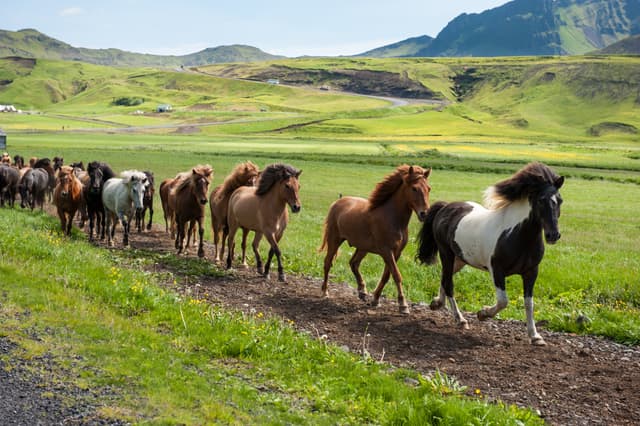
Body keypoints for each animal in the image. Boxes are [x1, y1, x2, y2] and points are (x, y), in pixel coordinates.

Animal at [320, 165, 431, 314]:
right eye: (414, 188)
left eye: (428, 188)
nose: (424, 214)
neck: (392, 217)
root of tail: (337, 202)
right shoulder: (386, 251)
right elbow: (396, 275)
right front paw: (403, 305)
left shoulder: (396, 253)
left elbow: (386, 276)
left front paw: (375, 299)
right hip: (334, 240)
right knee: (328, 263)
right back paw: (325, 292)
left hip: (362, 247)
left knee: (353, 263)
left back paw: (362, 291)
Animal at [416, 162, 564, 346]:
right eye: (541, 200)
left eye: (560, 200)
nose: (553, 235)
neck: (516, 235)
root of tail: (445, 207)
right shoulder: (497, 271)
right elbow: (503, 301)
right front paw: (482, 314)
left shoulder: (531, 272)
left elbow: (529, 303)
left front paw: (535, 337)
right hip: (446, 254)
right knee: (449, 283)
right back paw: (460, 320)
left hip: (460, 259)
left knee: (445, 277)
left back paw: (437, 303)